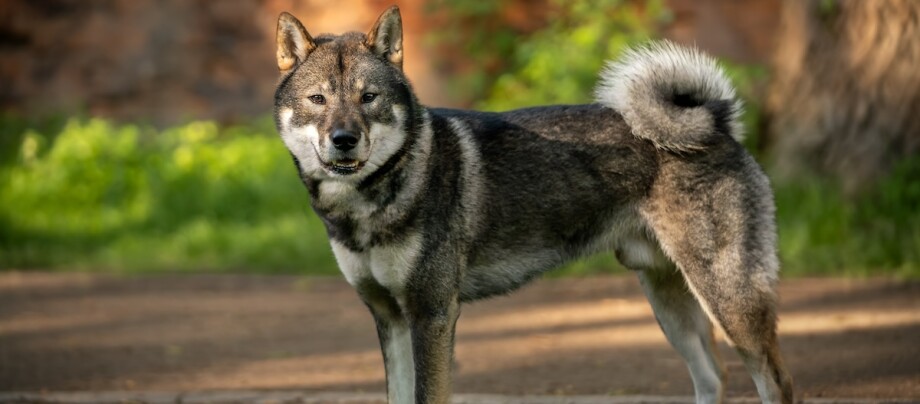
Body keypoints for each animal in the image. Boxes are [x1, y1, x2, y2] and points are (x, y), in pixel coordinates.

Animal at [274, 6, 796, 404]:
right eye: (318, 99)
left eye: (369, 97)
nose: (344, 139)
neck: (375, 197)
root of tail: (719, 127)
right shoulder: (390, 318)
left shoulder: (432, 315)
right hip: (669, 302)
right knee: (713, 377)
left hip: (728, 299)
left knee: (778, 383)